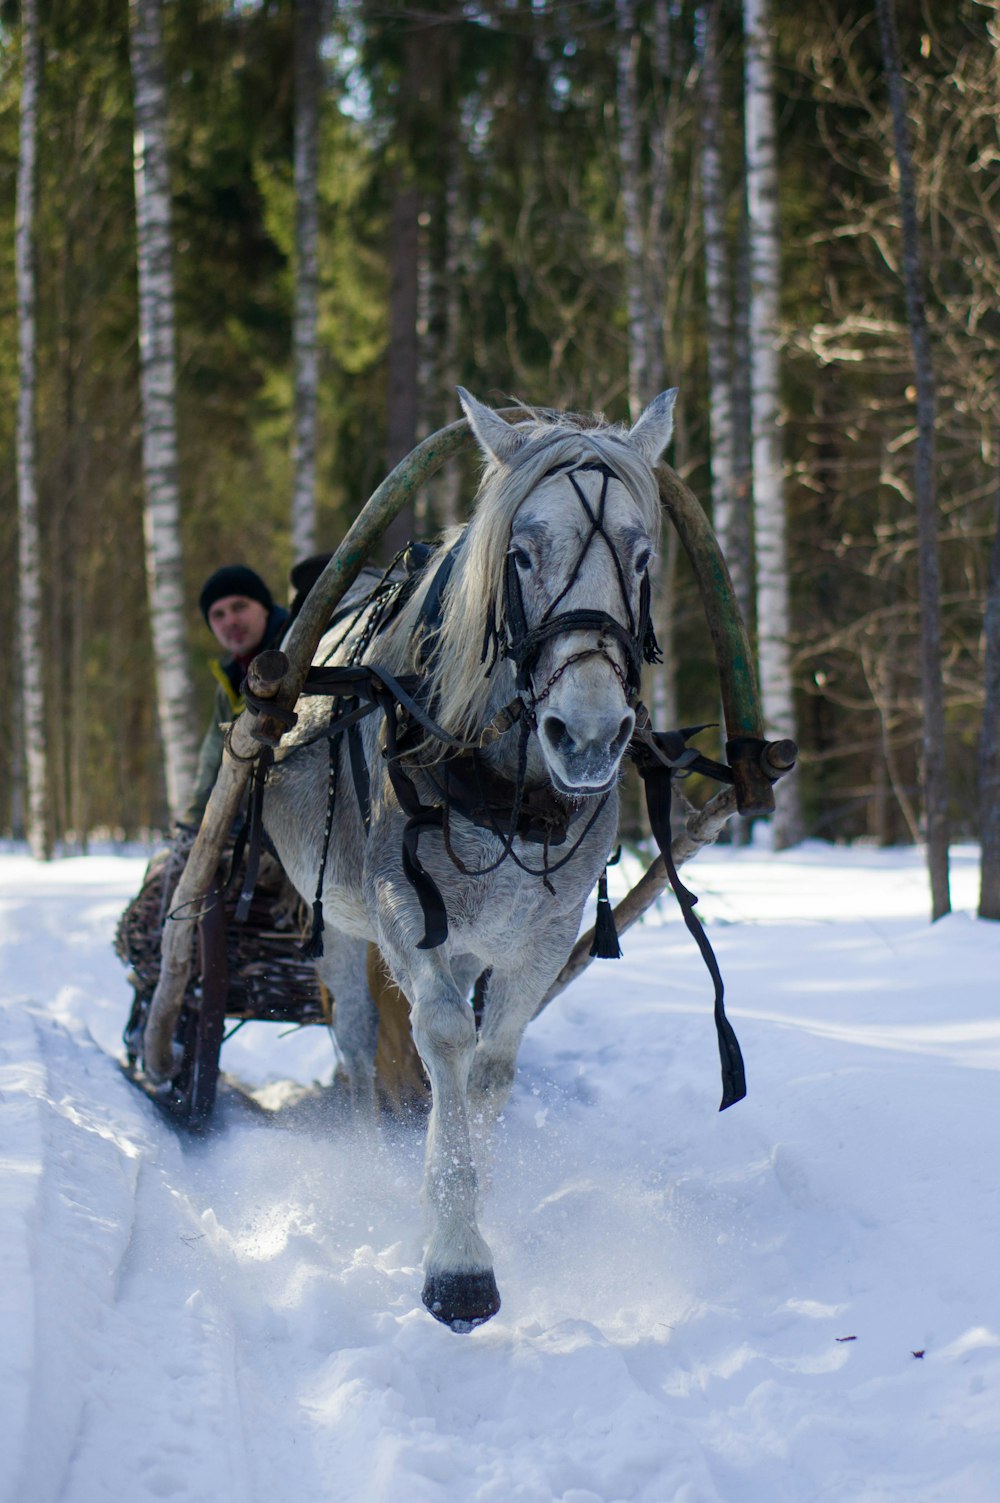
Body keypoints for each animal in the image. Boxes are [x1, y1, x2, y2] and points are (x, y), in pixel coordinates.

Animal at [261, 387, 673, 1328]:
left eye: (641, 559)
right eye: (519, 554)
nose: (588, 737)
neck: (507, 788)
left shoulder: (544, 933)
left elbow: (490, 1065)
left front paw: (484, 1196)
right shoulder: (405, 911)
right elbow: (443, 1035)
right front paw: (455, 1254)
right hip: (338, 919)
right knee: (355, 1040)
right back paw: (372, 1157)